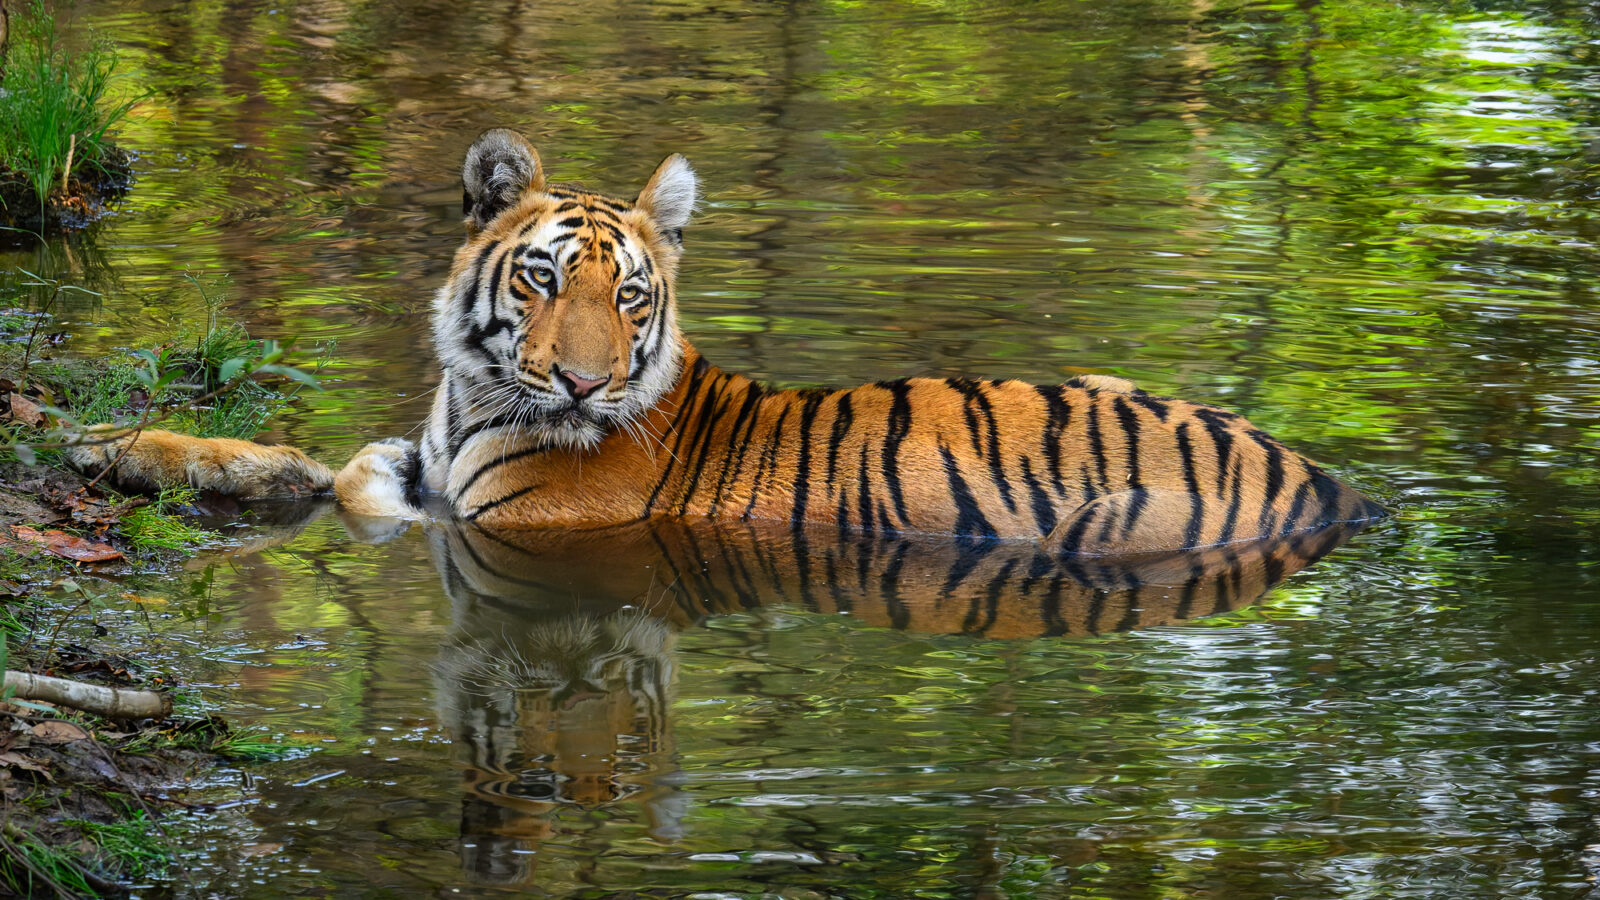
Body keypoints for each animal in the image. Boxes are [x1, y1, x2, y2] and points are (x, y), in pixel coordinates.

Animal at [66, 128, 1385, 555]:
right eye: (544, 280)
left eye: (632, 299)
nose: (583, 381)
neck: (470, 394)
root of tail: (1334, 485)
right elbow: (296, 461)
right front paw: (112, 442)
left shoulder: (503, 519)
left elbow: (337, 484)